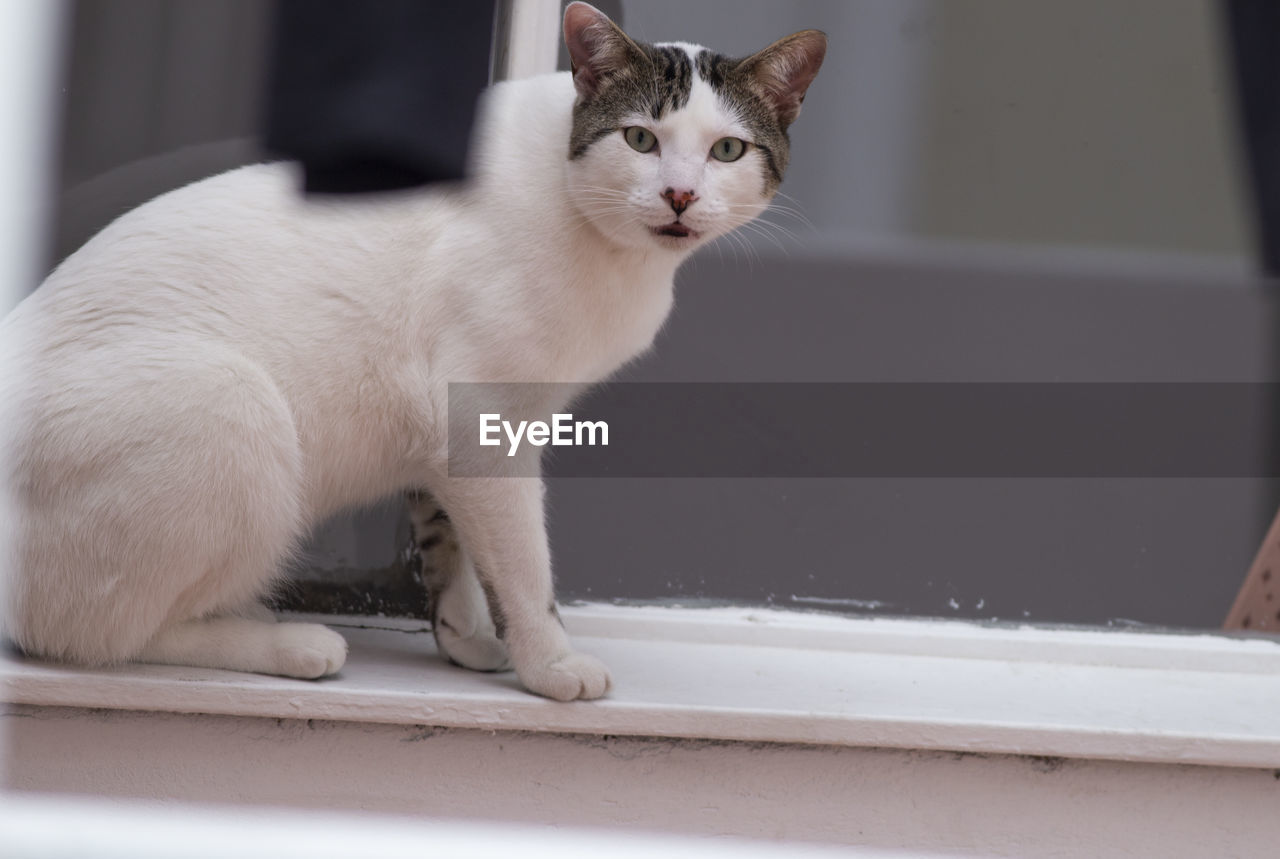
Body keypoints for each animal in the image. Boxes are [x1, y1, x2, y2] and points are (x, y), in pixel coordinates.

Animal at [0, 3, 824, 701]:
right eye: (641, 139)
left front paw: (465, 635)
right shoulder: (487, 416)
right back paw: (290, 643)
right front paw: (549, 662)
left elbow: (447, 537)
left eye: (727, 150)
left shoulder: (451, 428)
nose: (681, 196)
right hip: (233, 406)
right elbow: (524, 564)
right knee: (92, 635)